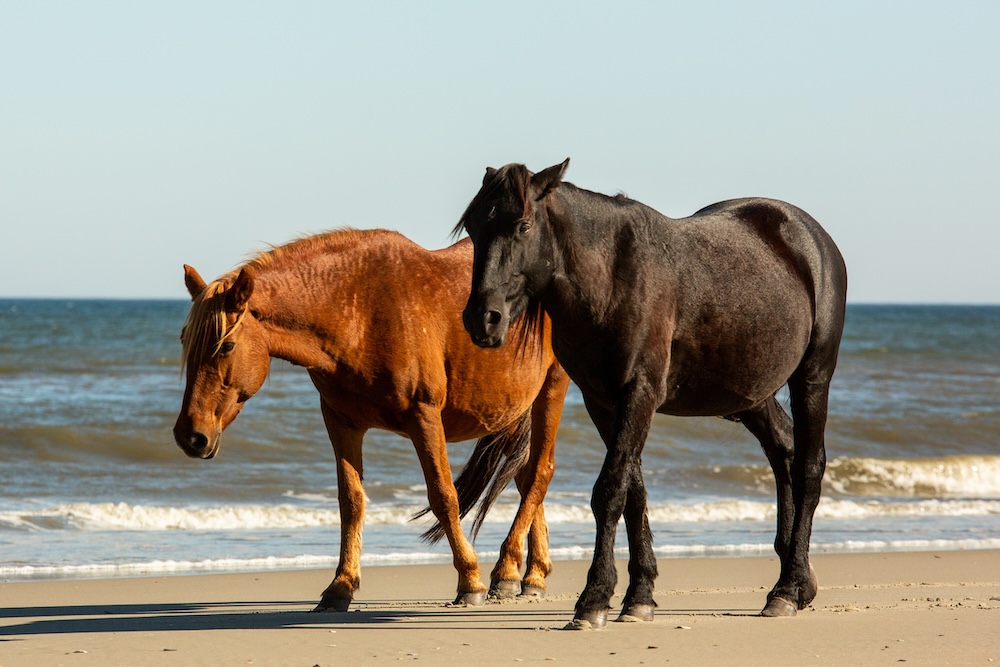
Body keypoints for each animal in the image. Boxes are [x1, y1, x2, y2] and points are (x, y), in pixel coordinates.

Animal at [172, 228, 569, 611]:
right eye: (184, 340)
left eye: (226, 345)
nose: (189, 436)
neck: (361, 313)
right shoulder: (341, 422)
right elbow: (351, 503)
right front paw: (340, 586)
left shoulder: (424, 417)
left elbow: (443, 496)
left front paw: (469, 581)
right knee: (525, 478)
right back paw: (527, 574)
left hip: (551, 388)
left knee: (540, 473)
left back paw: (507, 569)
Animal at [455, 159, 848, 629]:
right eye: (475, 228)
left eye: (523, 225)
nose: (483, 318)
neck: (611, 278)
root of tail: (810, 236)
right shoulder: (603, 402)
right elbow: (633, 493)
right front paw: (638, 596)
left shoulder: (638, 394)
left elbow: (610, 490)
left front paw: (593, 600)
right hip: (750, 396)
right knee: (783, 451)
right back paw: (798, 579)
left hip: (813, 377)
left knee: (808, 466)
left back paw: (787, 589)